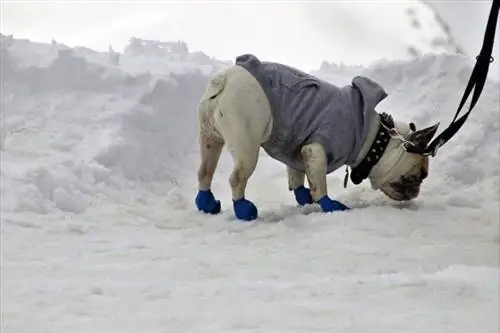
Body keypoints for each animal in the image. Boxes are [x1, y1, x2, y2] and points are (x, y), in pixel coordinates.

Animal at [193, 53, 440, 220]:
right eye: (419, 177)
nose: (415, 193)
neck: (374, 139)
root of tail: (223, 80)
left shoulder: (297, 148)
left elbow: (297, 176)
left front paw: (304, 197)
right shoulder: (316, 150)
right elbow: (319, 182)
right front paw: (329, 205)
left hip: (210, 137)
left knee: (205, 171)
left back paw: (207, 203)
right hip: (247, 145)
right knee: (237, 178)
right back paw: (243, 209)